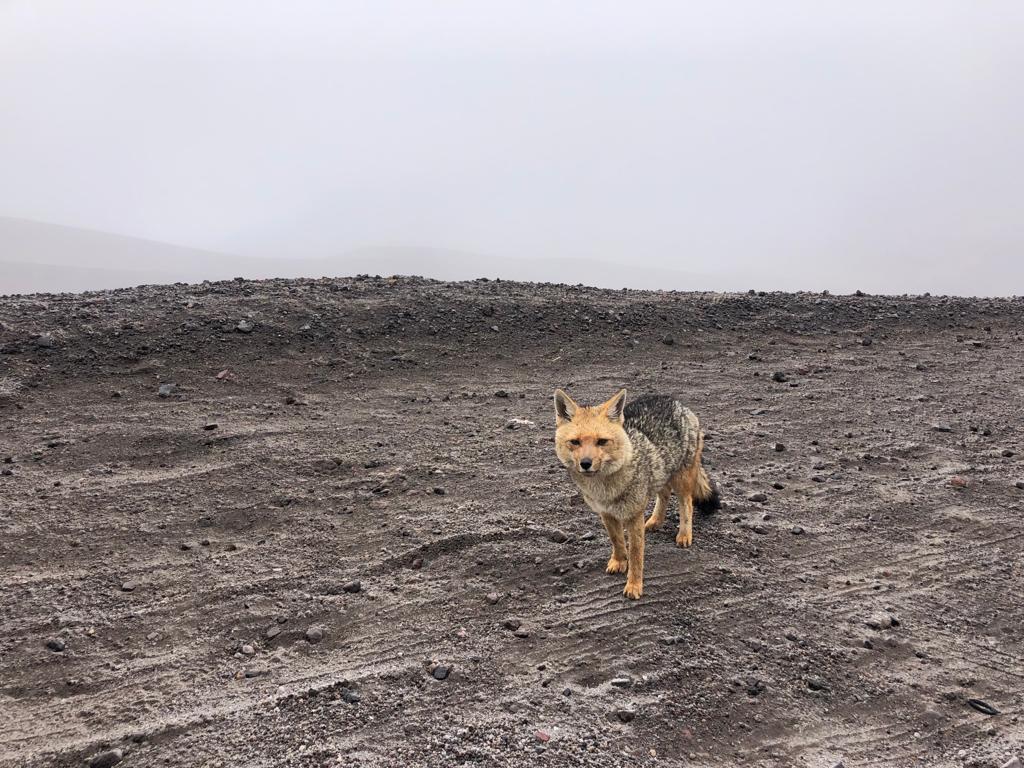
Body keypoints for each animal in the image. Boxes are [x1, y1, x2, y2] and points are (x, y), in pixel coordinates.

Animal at [553, 388, 720, 599]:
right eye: (575, 442)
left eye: (602, 442)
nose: (585, 463)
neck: (605, 488)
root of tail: (675, 401)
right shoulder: (605, 513)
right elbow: (617, 541)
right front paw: (618, 561)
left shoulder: (634, 516)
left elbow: (636, 554)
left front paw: (634, 585)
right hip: (660, 472)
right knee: (664, 494)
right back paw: (656, 521)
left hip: (681, 479)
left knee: (687, 504)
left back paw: (684, 534)